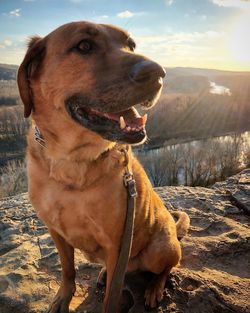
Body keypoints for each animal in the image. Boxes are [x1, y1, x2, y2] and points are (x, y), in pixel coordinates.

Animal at [17, 22, 189, 312]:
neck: (71, 160)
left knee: (166, 268)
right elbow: (67, 270)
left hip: (159, 250)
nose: (157, 73)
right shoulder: (56, 232)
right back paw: (104, 273)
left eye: (131, 45)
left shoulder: (116, 244)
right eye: (84, 46)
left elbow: (111, 297)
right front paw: (64, 296)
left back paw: (154, 289)